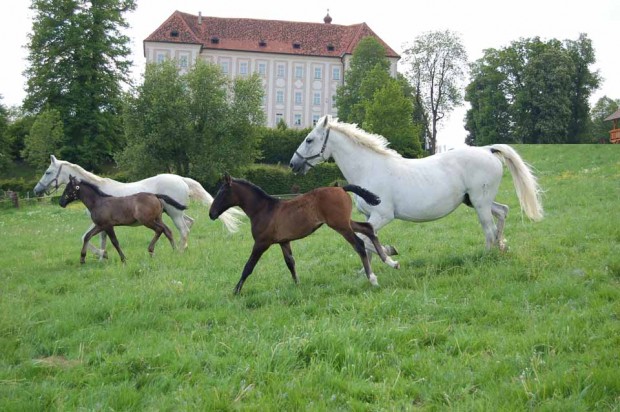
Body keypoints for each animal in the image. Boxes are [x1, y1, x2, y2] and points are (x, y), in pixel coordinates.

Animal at [58, 175, 186, 262]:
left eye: (68, 189)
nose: (61, 202)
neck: (98, 202)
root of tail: (155, 195)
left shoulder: (108, 225)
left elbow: (115, 242)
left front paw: (123, 259)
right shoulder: (100, 225)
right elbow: (87, 237)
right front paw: (82, 258)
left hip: (147, 221)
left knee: (159, 230)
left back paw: (151, 250)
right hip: (157, 218)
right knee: (167, 230)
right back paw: (175, 250)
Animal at [211, 174, 400, 296]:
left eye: (222, 192)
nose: (211, 214)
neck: (264, 209)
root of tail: (341, 188)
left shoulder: (261, 243)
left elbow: (248, 266)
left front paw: (235, 291)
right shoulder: (284, 242)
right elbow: (290, 263)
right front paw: (298, 286)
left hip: (340, 226)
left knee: (359, 245)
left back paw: (373, 279)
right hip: (345, 222)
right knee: (368, 228)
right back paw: (391, 262)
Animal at [290, 116, 544, 264]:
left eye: (309, 139)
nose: (293, 164)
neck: (368, 168)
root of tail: (487, 150)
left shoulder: (383, 216)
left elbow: (365, 239)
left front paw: (389, 254)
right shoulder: (369, 217)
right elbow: (368, 241)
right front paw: (368, 269)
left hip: (480, 203)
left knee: (489, 229)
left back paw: (488, 256)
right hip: (475, 200)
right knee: (503, 211)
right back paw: (502, 247)